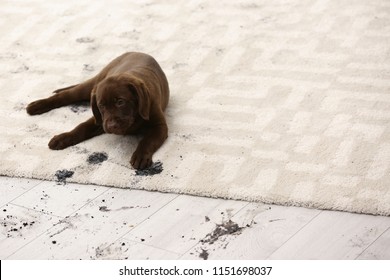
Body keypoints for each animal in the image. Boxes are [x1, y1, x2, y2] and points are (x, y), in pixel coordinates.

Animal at [25, 52, 169, 171]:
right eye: (101, 105)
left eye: (120, 102)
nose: (111, 126)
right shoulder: (99, 119)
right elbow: (81, 127)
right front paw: (62, 138)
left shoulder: (159, 126)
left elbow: (148, 140)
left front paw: (140, 155)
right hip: (92, 85)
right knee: (66, 95)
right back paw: (37, 106)